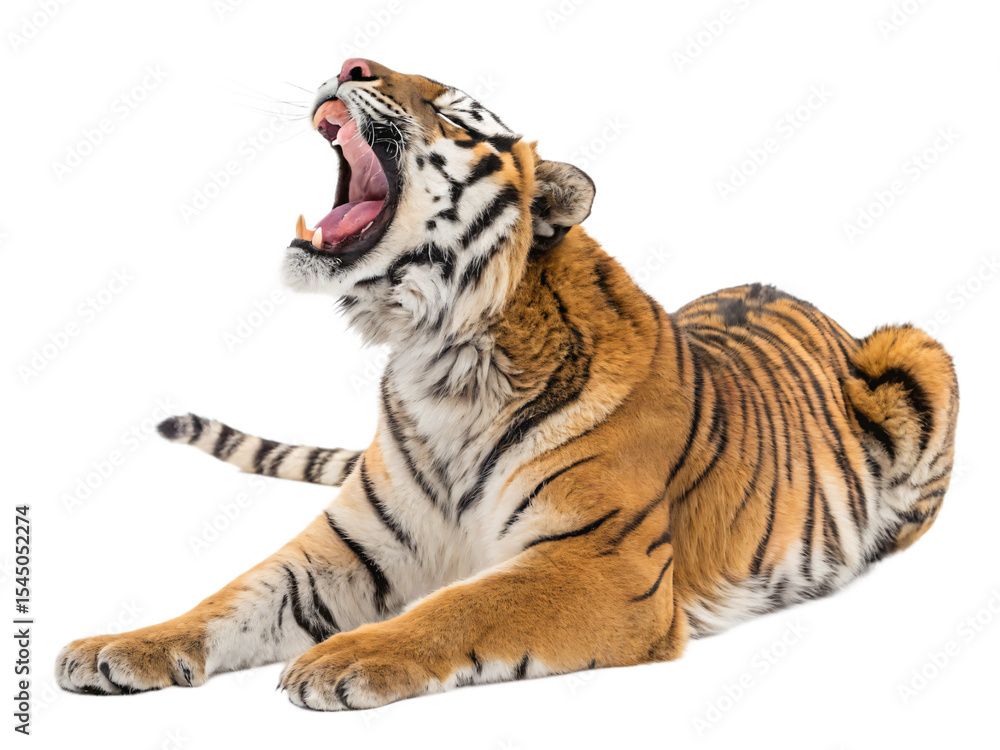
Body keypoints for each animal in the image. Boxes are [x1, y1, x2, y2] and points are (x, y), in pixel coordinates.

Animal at [55, 58, 959, 710]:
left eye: (454, 115)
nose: (348, 64)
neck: (438, 359)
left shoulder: (599, 560)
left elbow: (459, 607)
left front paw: (344, 657)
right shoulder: (352, 546)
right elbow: (228, 598)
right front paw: (118, 646)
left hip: (919, 352)